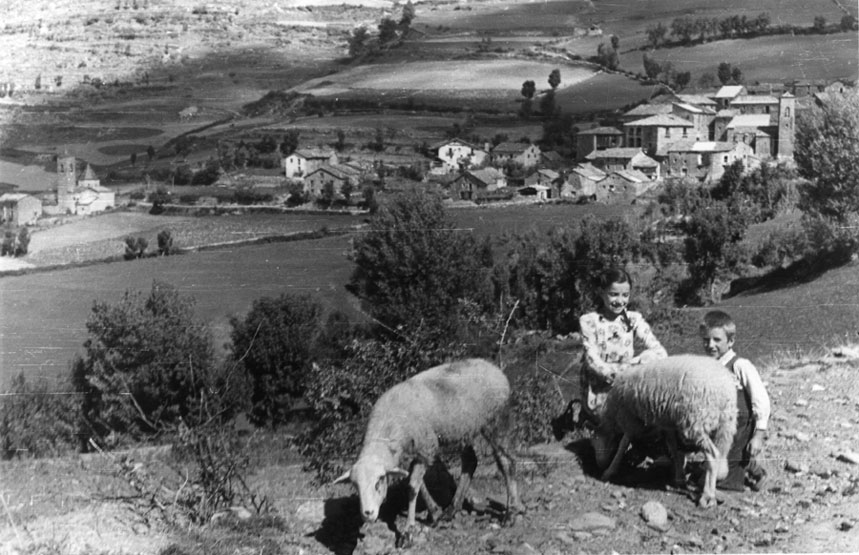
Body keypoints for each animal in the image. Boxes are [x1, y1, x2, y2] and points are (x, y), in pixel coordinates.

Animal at [334, 358, 524, 544]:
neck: (387, 426)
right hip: (462, 430)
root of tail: (492, 367)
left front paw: (408, 531)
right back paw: (452, 509)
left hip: (497, 420)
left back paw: (511, 513)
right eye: (355, 486)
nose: (368, 514)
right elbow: (415, 484)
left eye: (378, 481)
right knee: (470, 461)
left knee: (506, 462)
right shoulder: (415, 453)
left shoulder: (426, 447)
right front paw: (435, 512)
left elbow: (412, 487)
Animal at [588, 356, 736, 508]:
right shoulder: (667, 424)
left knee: (713, 455)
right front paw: (680, 478)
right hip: (726, 426)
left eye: (595, 442)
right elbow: (674, 450)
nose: (599, 465)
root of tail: (725, 389)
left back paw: (707, 496)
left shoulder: (631, 418)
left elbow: (623, 444)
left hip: (695, 422)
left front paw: (609, 471)